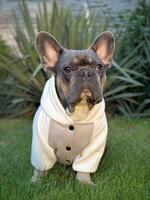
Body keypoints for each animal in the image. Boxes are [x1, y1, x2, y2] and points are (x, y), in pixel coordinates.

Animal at [30, 30, 115, 185]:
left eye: (99, 67)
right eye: (67, 69)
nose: (86, 72)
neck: (78, 109)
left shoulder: (94, 145)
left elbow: (85, 166)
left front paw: (84, 182)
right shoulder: (40, 143)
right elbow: (41, 164)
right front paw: (36, 181)